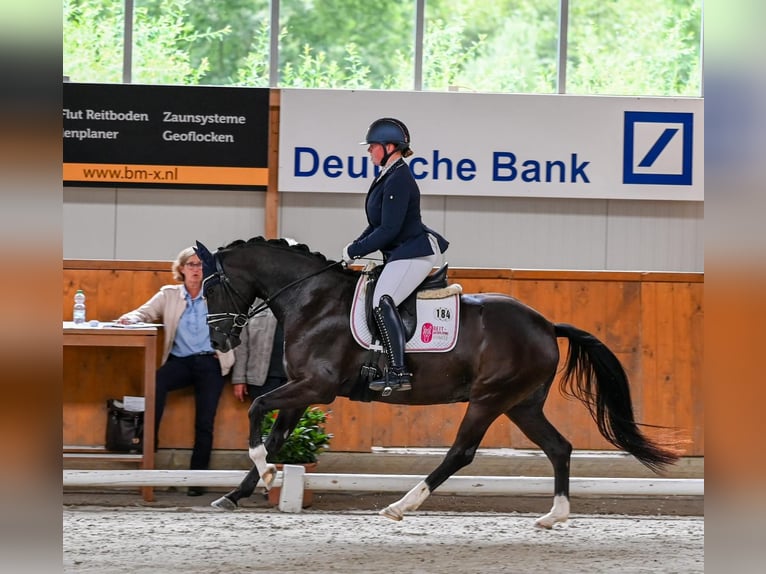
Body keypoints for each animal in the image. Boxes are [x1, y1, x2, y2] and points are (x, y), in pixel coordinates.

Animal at [195, 236, 680, 528]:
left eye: (211, 288)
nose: (219, 341)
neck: (312, 300)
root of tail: (546, 325)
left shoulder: (317, 386)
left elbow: (258, 410)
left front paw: (266, 474)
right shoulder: (301, 389)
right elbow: (275, 436)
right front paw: (241, 491)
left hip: (489, 399)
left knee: (460, 453)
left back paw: (401, 505)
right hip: (521, 404)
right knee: (559, 447)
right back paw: (553, 516)